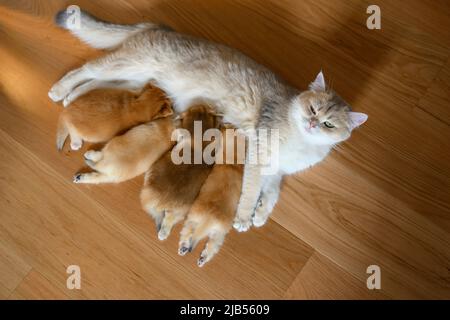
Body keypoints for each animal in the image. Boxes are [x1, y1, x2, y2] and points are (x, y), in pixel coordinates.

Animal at [178, 125, 244, 268]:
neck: (233, 160)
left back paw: (184, 248)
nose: (224, 125)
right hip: (219, 235)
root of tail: (209, 219)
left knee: (187, 234)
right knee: (211, 248)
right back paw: (201, 259)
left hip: (193, 219)